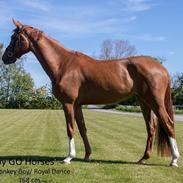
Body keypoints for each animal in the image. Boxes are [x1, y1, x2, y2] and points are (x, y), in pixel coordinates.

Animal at [2, 20, 179, 166]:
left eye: (15, 38)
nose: (5, 57)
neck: (63, 64)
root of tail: (161, 68)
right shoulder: (78, 105)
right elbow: (82, 129)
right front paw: (87, 155)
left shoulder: (68, 103)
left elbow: (70, 129)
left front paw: (69, 157)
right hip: (144, 102)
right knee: (151, 128)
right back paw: (143, 158)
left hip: (155, 102)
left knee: (168, 124)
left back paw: (174, 160)